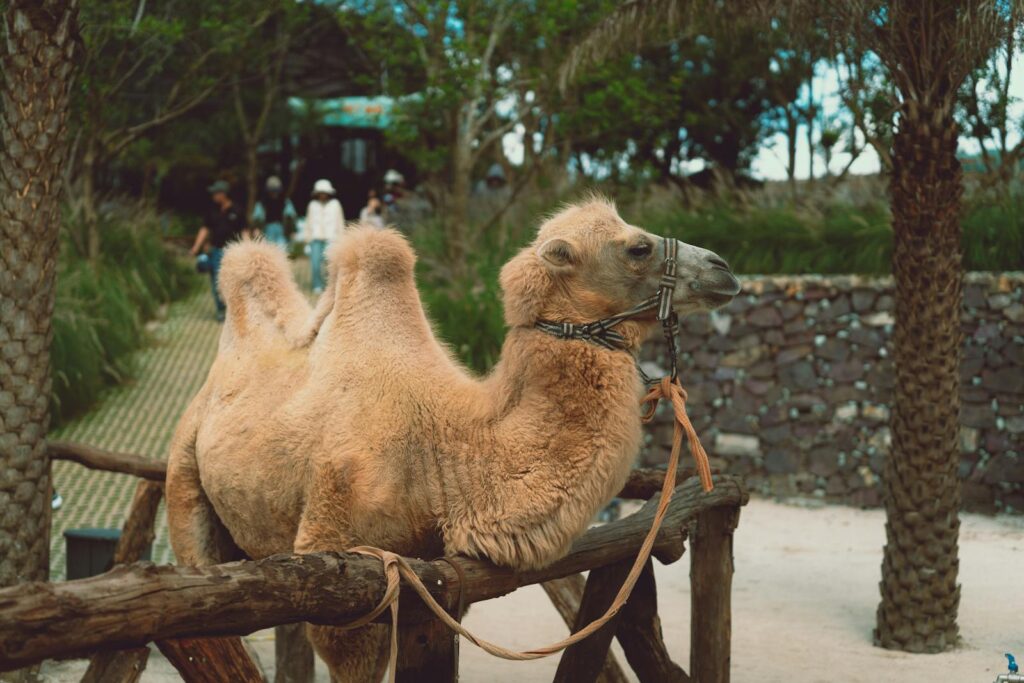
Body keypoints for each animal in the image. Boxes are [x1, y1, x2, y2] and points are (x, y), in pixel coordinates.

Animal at [165, 194, 737, 679]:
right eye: (637, 247)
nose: (724, 269)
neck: (445, 452)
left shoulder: (429, 584)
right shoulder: (337, 565)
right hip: (185, 477)